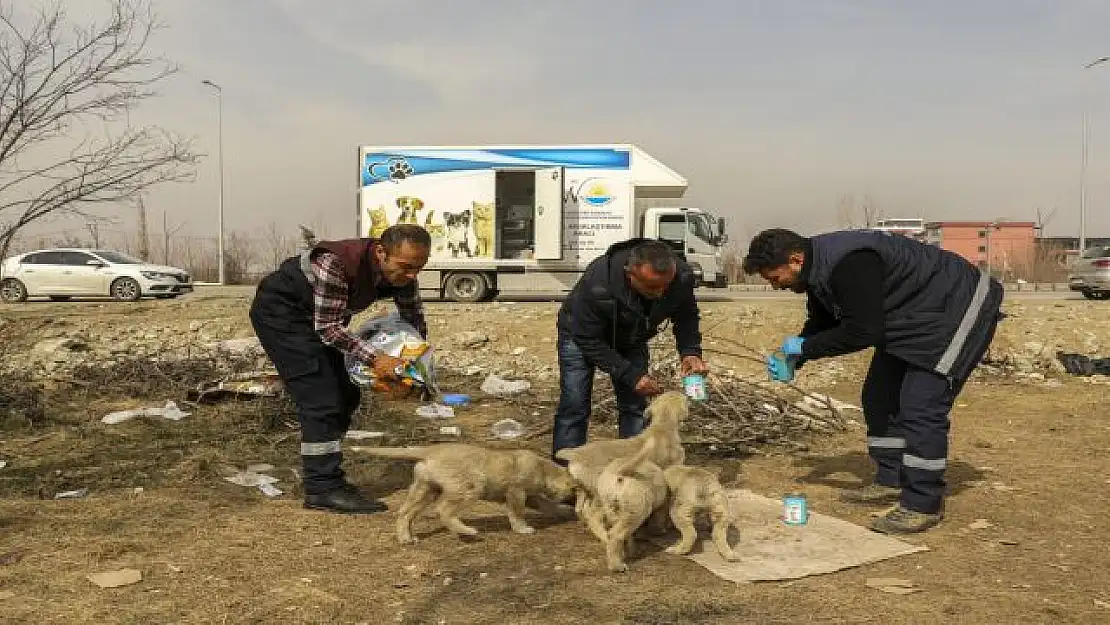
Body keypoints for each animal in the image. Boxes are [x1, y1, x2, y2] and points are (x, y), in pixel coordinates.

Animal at [361, 444, 577, 543]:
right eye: (575, 490)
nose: (576, 503)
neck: (543, 469)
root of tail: (429, 450)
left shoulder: (531, 496)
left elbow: (548, 505)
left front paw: (566, 513)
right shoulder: (516, 492)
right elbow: (517, 514)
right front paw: (522, 529)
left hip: (425, 489)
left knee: (405, 513)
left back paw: (406, 538)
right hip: (471, 486)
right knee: (444, 510)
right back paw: (468, 531)